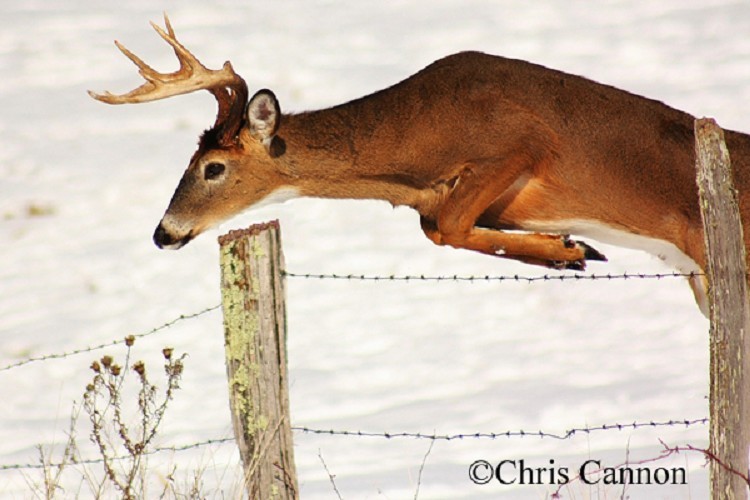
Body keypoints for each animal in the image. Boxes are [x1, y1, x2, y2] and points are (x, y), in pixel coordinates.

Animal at [88, 17, 750, 318]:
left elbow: (446, 226)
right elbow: (439, 226)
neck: (413, 145)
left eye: (213, 167)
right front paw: (569, 249)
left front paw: (572, 249)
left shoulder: (519, 141)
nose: (164, 233)